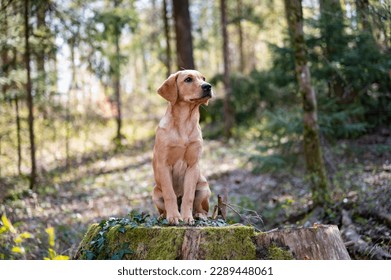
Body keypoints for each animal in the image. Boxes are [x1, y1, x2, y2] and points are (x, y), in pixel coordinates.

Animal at [153, 70, 214, 225]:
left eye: (203, 78)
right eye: (188, 79)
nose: (208, 86)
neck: (184, 123)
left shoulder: (192, 165)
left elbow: (189, 196)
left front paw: (187, 217)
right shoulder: (163, 165)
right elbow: (170, 194)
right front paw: (174, 216)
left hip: (204, 188)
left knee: (202, 208)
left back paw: (199, 215)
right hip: (155, 193)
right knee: (164, 206)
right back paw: (164, 216)